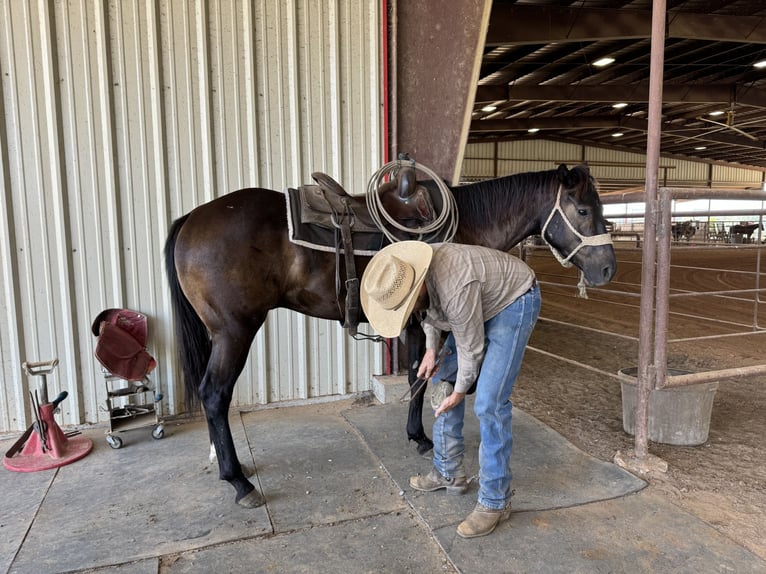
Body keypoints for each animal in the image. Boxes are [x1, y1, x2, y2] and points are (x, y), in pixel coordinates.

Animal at [164, 163, 616, 508]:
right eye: (582, 210)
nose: (608, 270)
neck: (467, 225)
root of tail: (192, 218)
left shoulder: (419, 324)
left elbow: (419, 374)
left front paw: (417, 435)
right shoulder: (438, 322)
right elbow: (425, 377)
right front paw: (423, 439)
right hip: (234, 332)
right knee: (215, 394)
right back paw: (238, 481)